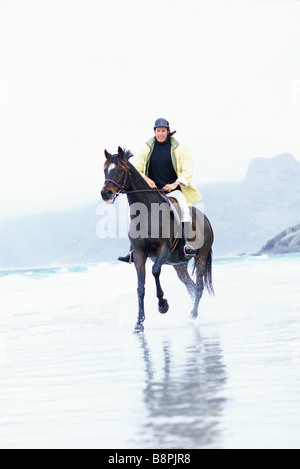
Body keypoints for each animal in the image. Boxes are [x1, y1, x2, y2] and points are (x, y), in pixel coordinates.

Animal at [102, 146, 214, 332]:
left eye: (119, 170)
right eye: (105, 170)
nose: (105, 193)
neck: (147, 211)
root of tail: (206, 220)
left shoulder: (164, 249)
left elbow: (155, 271)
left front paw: (163, 305)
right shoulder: (139, 254)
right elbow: (140, 287)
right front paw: (139, 322)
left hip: (201, 256)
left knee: (198, 286)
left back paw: (193, 315)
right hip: (179, 265)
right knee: (190, 286)